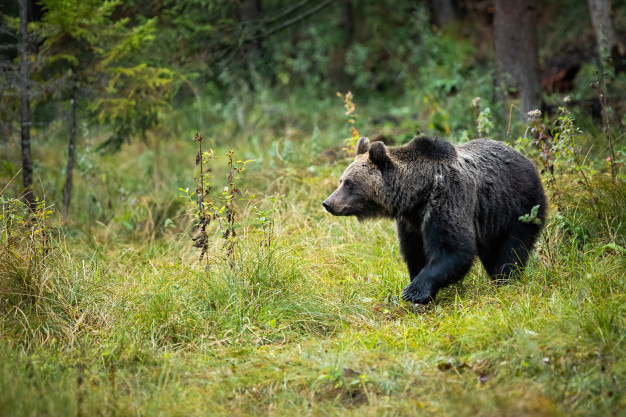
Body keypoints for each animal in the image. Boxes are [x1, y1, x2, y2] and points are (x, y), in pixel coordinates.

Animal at [324, 136, 544, 302]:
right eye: (341, 180)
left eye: (349, 183)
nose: (328, 203)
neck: (417, 194)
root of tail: (526, 159)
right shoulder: (411, 222)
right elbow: (415, 252)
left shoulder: (447, 198)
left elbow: (453, 249)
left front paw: (413, 291)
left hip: (520, 208)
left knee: (512, 249)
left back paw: (504, 281)